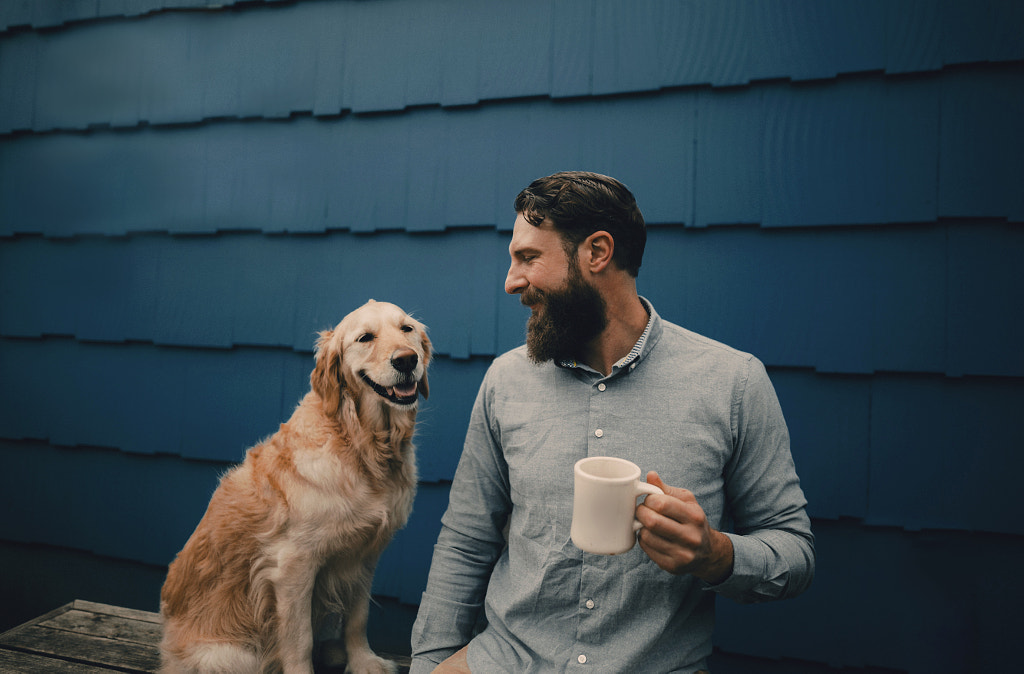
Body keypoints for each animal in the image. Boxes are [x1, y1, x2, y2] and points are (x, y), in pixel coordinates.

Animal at [158, 301, 428, 671]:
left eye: (407, 329)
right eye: (365, 338)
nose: (406, 360)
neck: (361, 444)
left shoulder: (365, 555)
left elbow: (358, 617)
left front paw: (363, 661)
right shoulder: (293, 565)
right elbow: (300, 639)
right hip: (228, 656)